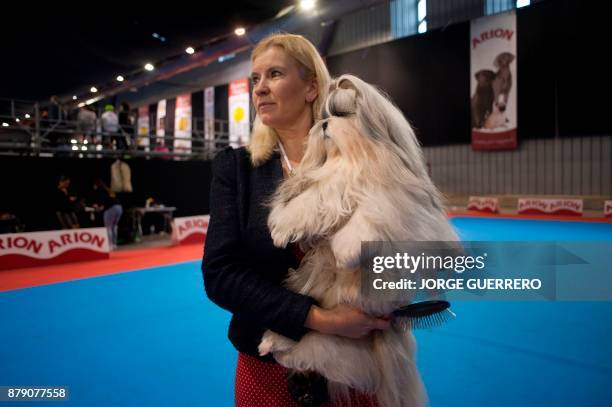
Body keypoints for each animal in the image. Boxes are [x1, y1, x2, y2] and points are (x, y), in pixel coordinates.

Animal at [258, 75, 460, 406]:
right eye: (326, 115)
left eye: (343, 113)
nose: (324, 123)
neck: (352, 158)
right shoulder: (324, 186)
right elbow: (308, 201)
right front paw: (282, 231)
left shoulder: (393, 196)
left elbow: (370, 213)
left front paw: (347, 250)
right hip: (309, 290)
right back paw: (271, 342)